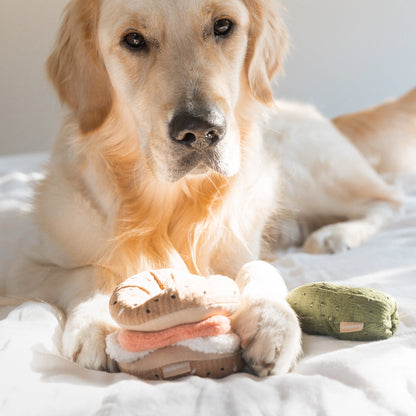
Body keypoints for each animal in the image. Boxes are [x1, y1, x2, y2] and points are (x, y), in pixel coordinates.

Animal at [4, 0, 414, 376]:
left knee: (389, 199)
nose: (200, 131)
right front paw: (94, 325)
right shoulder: (21, 265)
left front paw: (272, 320)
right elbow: (91, 271)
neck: (169, 204)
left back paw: (336, 234)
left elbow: (259, 268)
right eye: (133, 39)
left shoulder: (242, 245)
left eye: (223, 25)